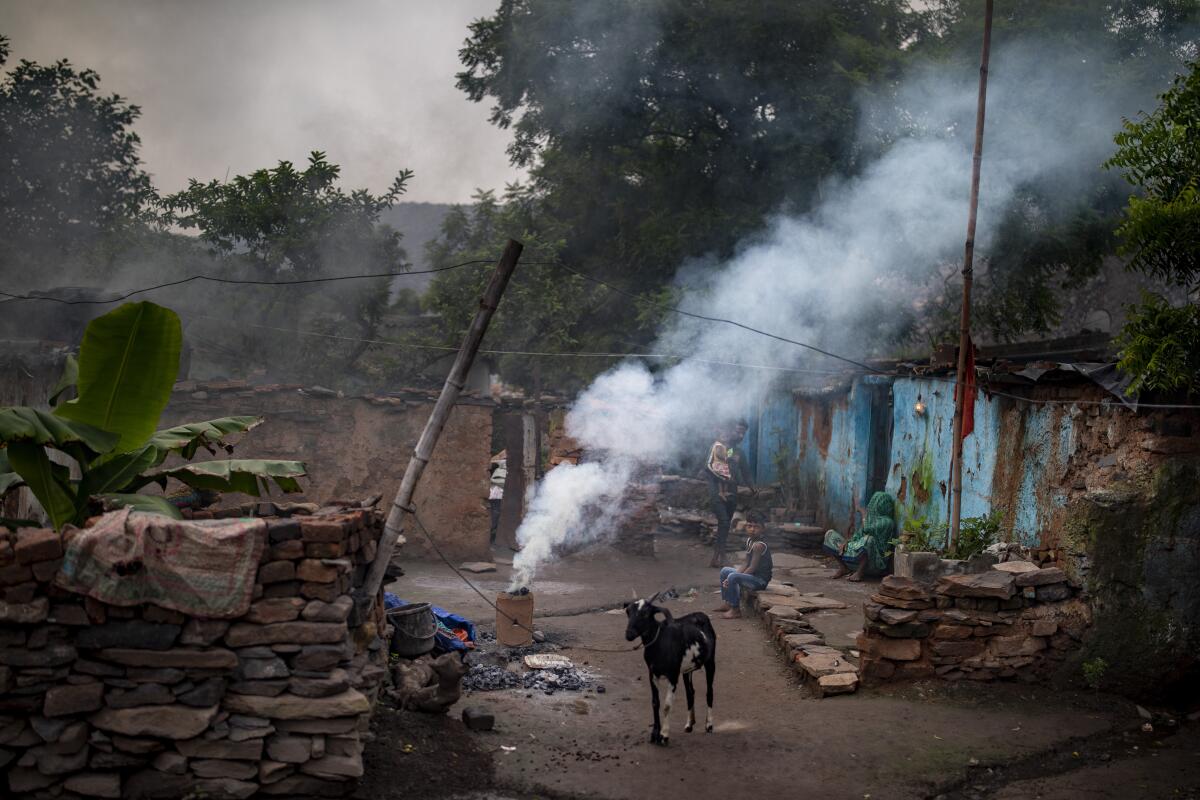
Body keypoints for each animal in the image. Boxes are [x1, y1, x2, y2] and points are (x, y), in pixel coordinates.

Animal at [628, 592, 710, 748]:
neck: (660, 642)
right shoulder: (652, 674)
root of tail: (700, 614)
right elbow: (655, 702)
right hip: (687, 669)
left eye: (645, 613)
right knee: (690, 692)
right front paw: (654, 734)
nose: (629, 634)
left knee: (710, 692)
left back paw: (709, 725)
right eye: (628, 612)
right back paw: (689, 724)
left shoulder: (673, 675)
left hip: (710, 662)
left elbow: (667, 705)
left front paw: (664, 735)